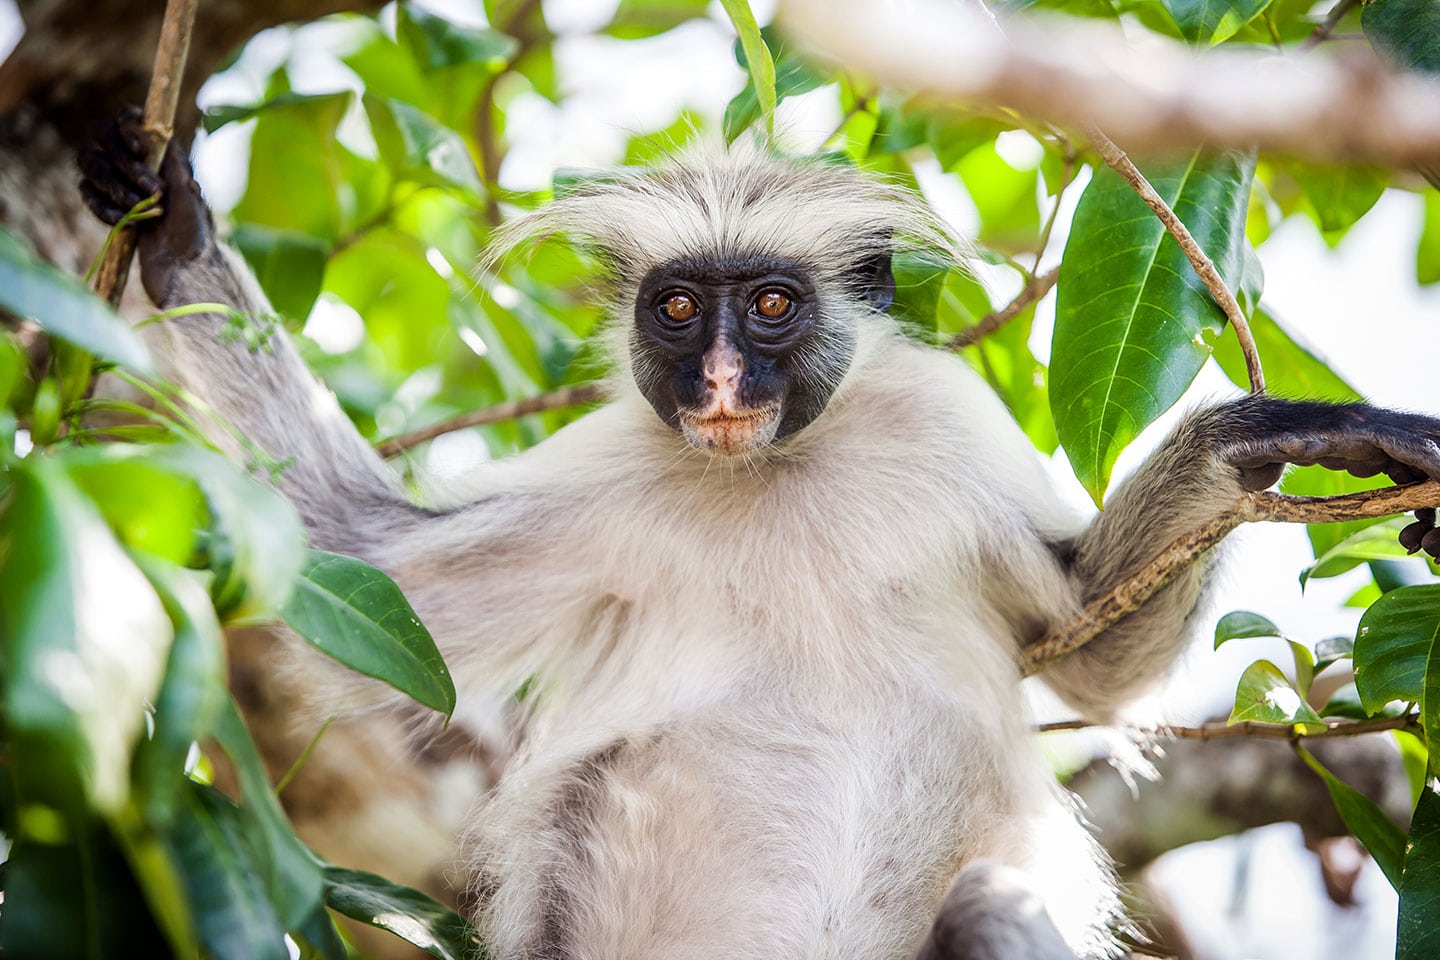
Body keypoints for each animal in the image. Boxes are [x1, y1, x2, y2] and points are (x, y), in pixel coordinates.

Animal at [80, 108, 1440, 959]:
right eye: (681, 311)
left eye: (775, 306)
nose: (725, 381)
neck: (773, 474)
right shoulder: (605, 478)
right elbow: (348, 562)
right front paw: (170, 231)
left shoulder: (943, 426)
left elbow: (1097, 664)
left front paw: (1260, 448)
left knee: (993, 904)